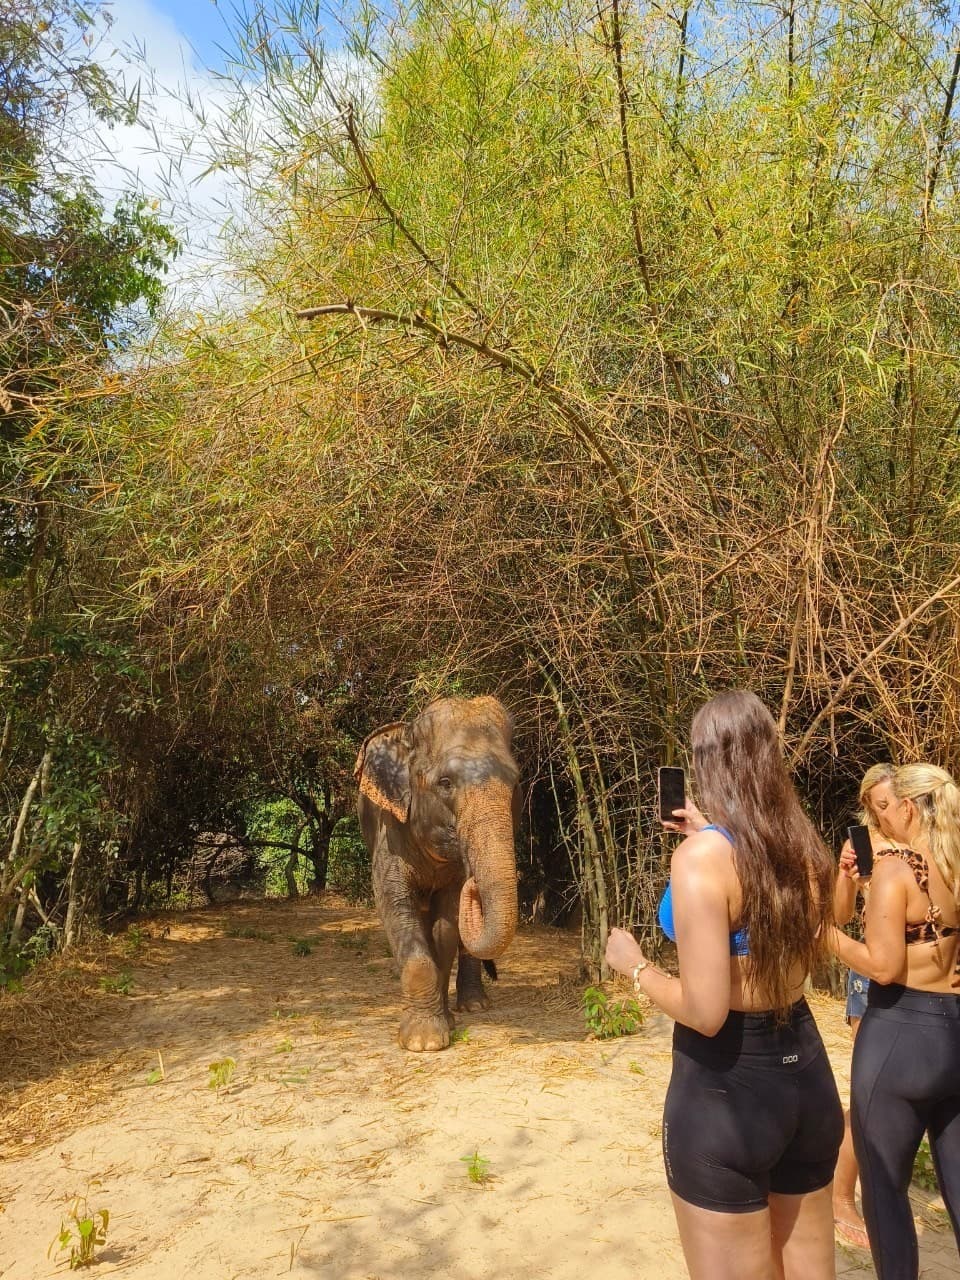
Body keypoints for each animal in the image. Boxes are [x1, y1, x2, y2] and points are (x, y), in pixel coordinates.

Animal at [354, 695, 520, 1051]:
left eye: (515, 783)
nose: (474, 881)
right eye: (445, 783)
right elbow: (395, 908)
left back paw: (474, 1005)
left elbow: (447, 926)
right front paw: (423, 1041)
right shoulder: (389, 836)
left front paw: (444, 1024)